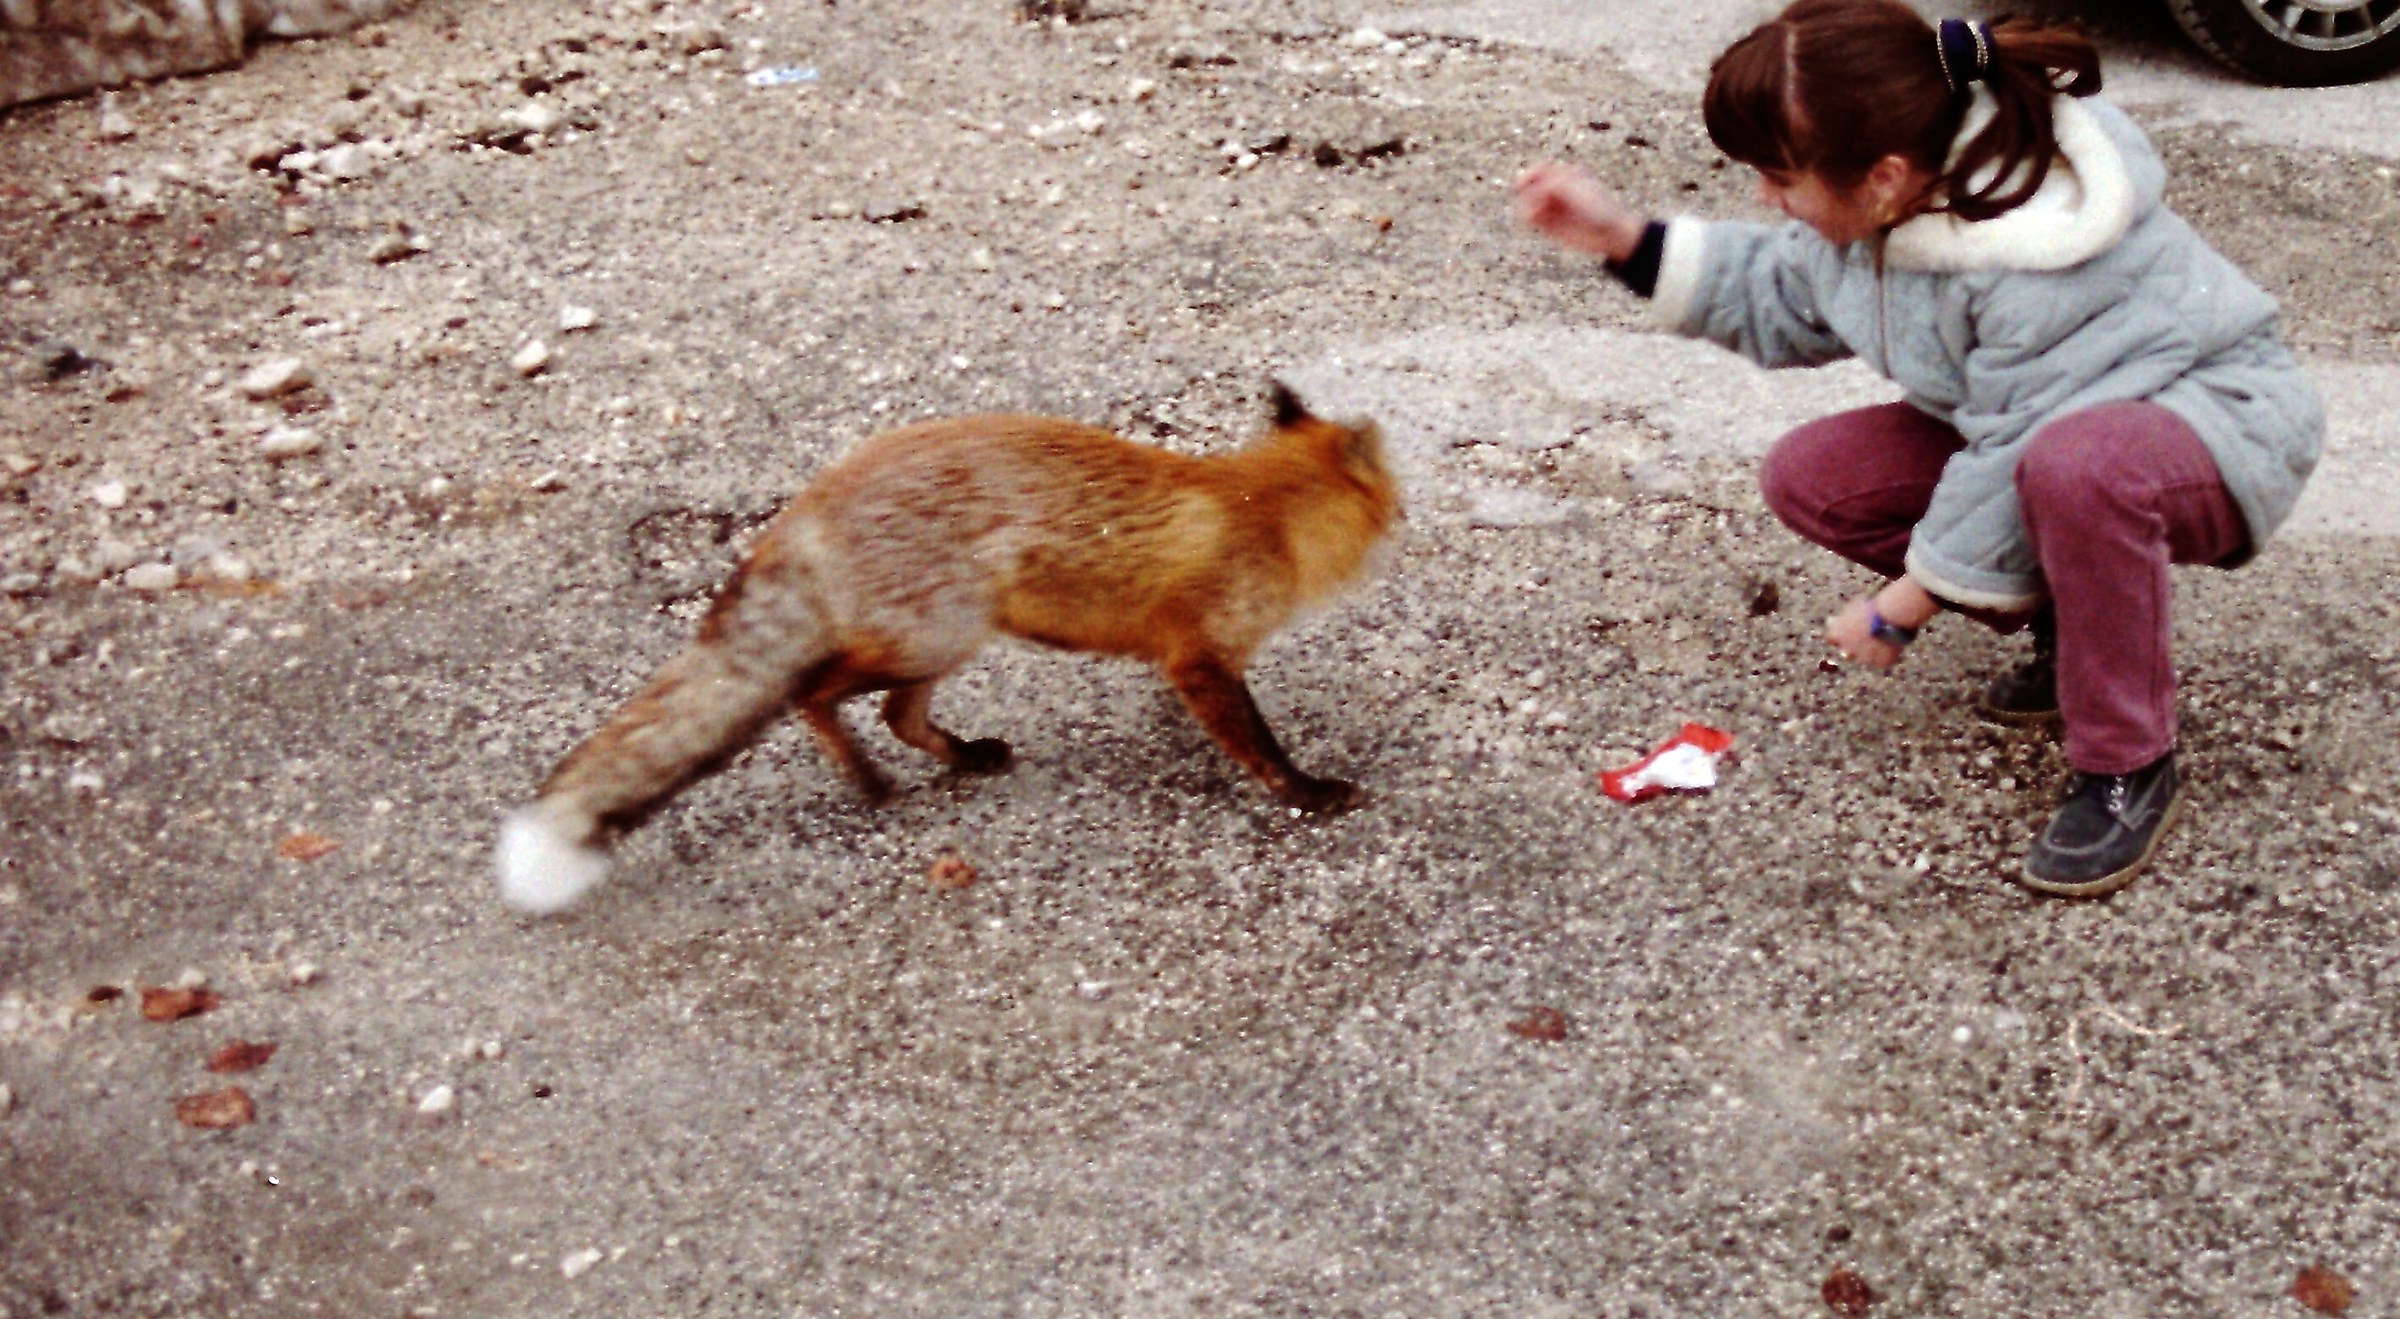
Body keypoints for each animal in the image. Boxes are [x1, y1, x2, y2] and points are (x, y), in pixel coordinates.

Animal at [496, 383, 1400, 913]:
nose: (1407, 515)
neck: (1264, 512)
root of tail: (811, 500)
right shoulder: (1203, 654)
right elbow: (1260, 745)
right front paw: (1307, 793)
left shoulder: (1181, 656)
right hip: (938, 636)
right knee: (815, 696)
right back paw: (868, 780)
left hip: (944, 645)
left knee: (895, 716)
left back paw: (965, 757)